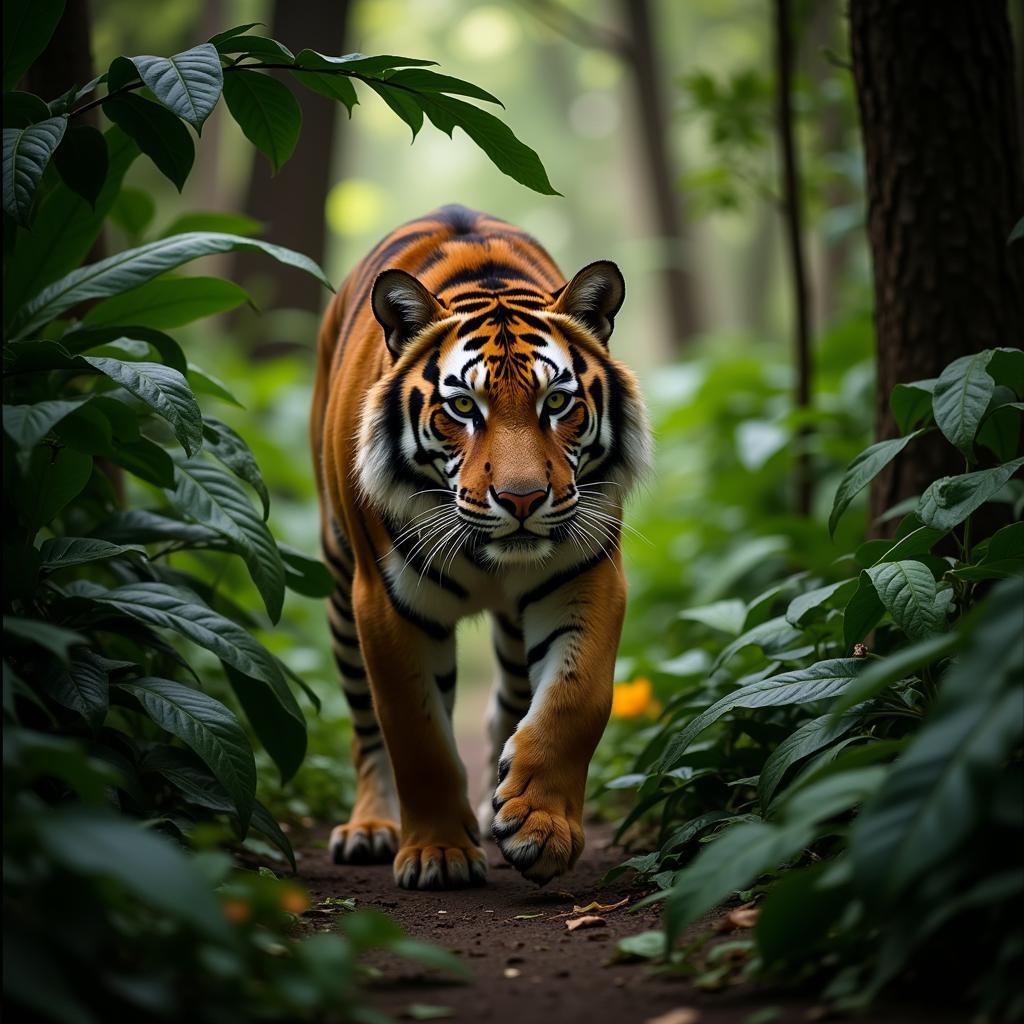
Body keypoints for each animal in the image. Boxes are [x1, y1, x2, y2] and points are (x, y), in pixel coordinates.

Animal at [307, 205, 651, 888]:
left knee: (513, 696)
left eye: (557, 402)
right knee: (363, 725)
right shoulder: (384, 603)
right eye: (463, 406)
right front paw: (438, 853)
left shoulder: (588, 575)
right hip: (338, 583)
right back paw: (370, 829)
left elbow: (578, 697)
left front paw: (538, 825)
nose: (522, 499)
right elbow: (415, 733)